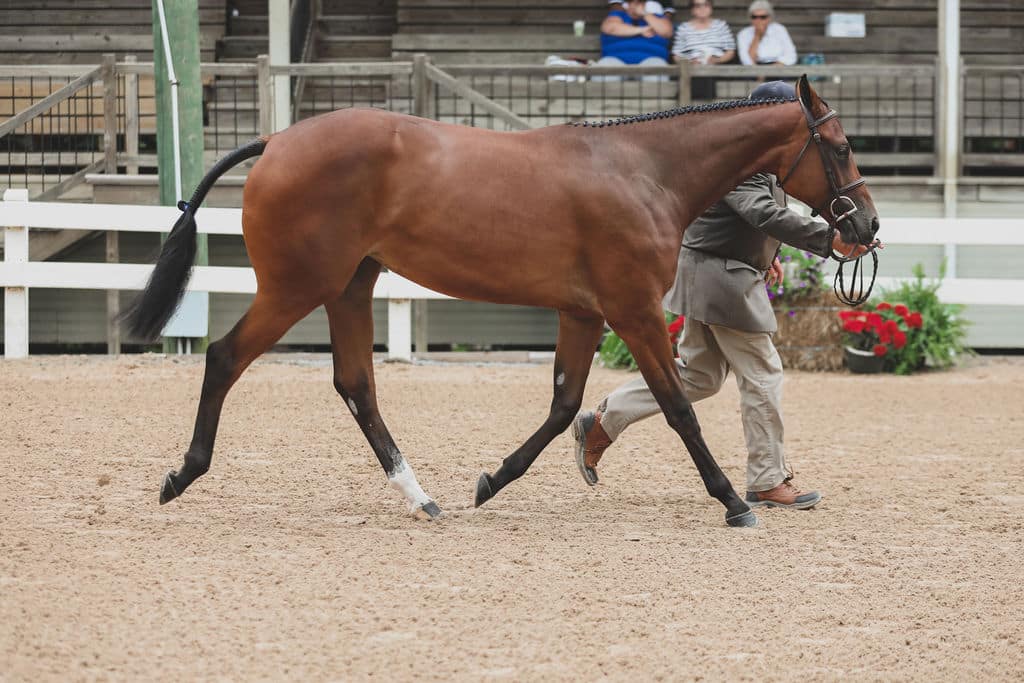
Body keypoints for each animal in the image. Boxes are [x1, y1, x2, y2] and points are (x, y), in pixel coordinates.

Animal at [125, 75, 878, 528]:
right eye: (841, 147)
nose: (865, 227)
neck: (643, 171)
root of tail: (278, 139)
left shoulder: (584, 312)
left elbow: (566, 405)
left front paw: (492, 480)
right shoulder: (632, 310)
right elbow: (677, 409)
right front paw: (731, 501)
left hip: (350, 287)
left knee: (356, 385)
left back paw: (422, 498)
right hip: (296, 286)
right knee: (225, 358)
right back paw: (181, 475)